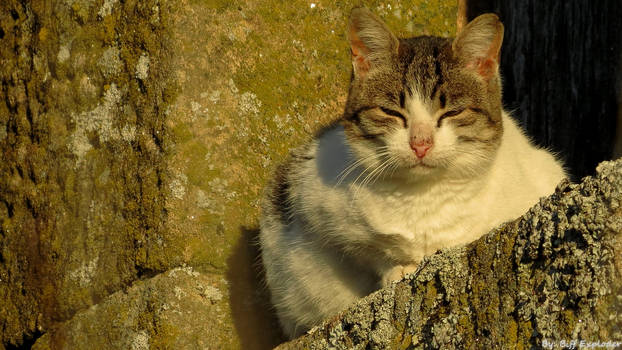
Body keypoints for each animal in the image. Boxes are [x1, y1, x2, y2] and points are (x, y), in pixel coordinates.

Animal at [258, 7, 564, 340]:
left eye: (452, 112)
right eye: (391, 112)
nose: (420, 142)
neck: (424, 196)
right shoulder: (314, 201)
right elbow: (371, 251)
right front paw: (400, 269)